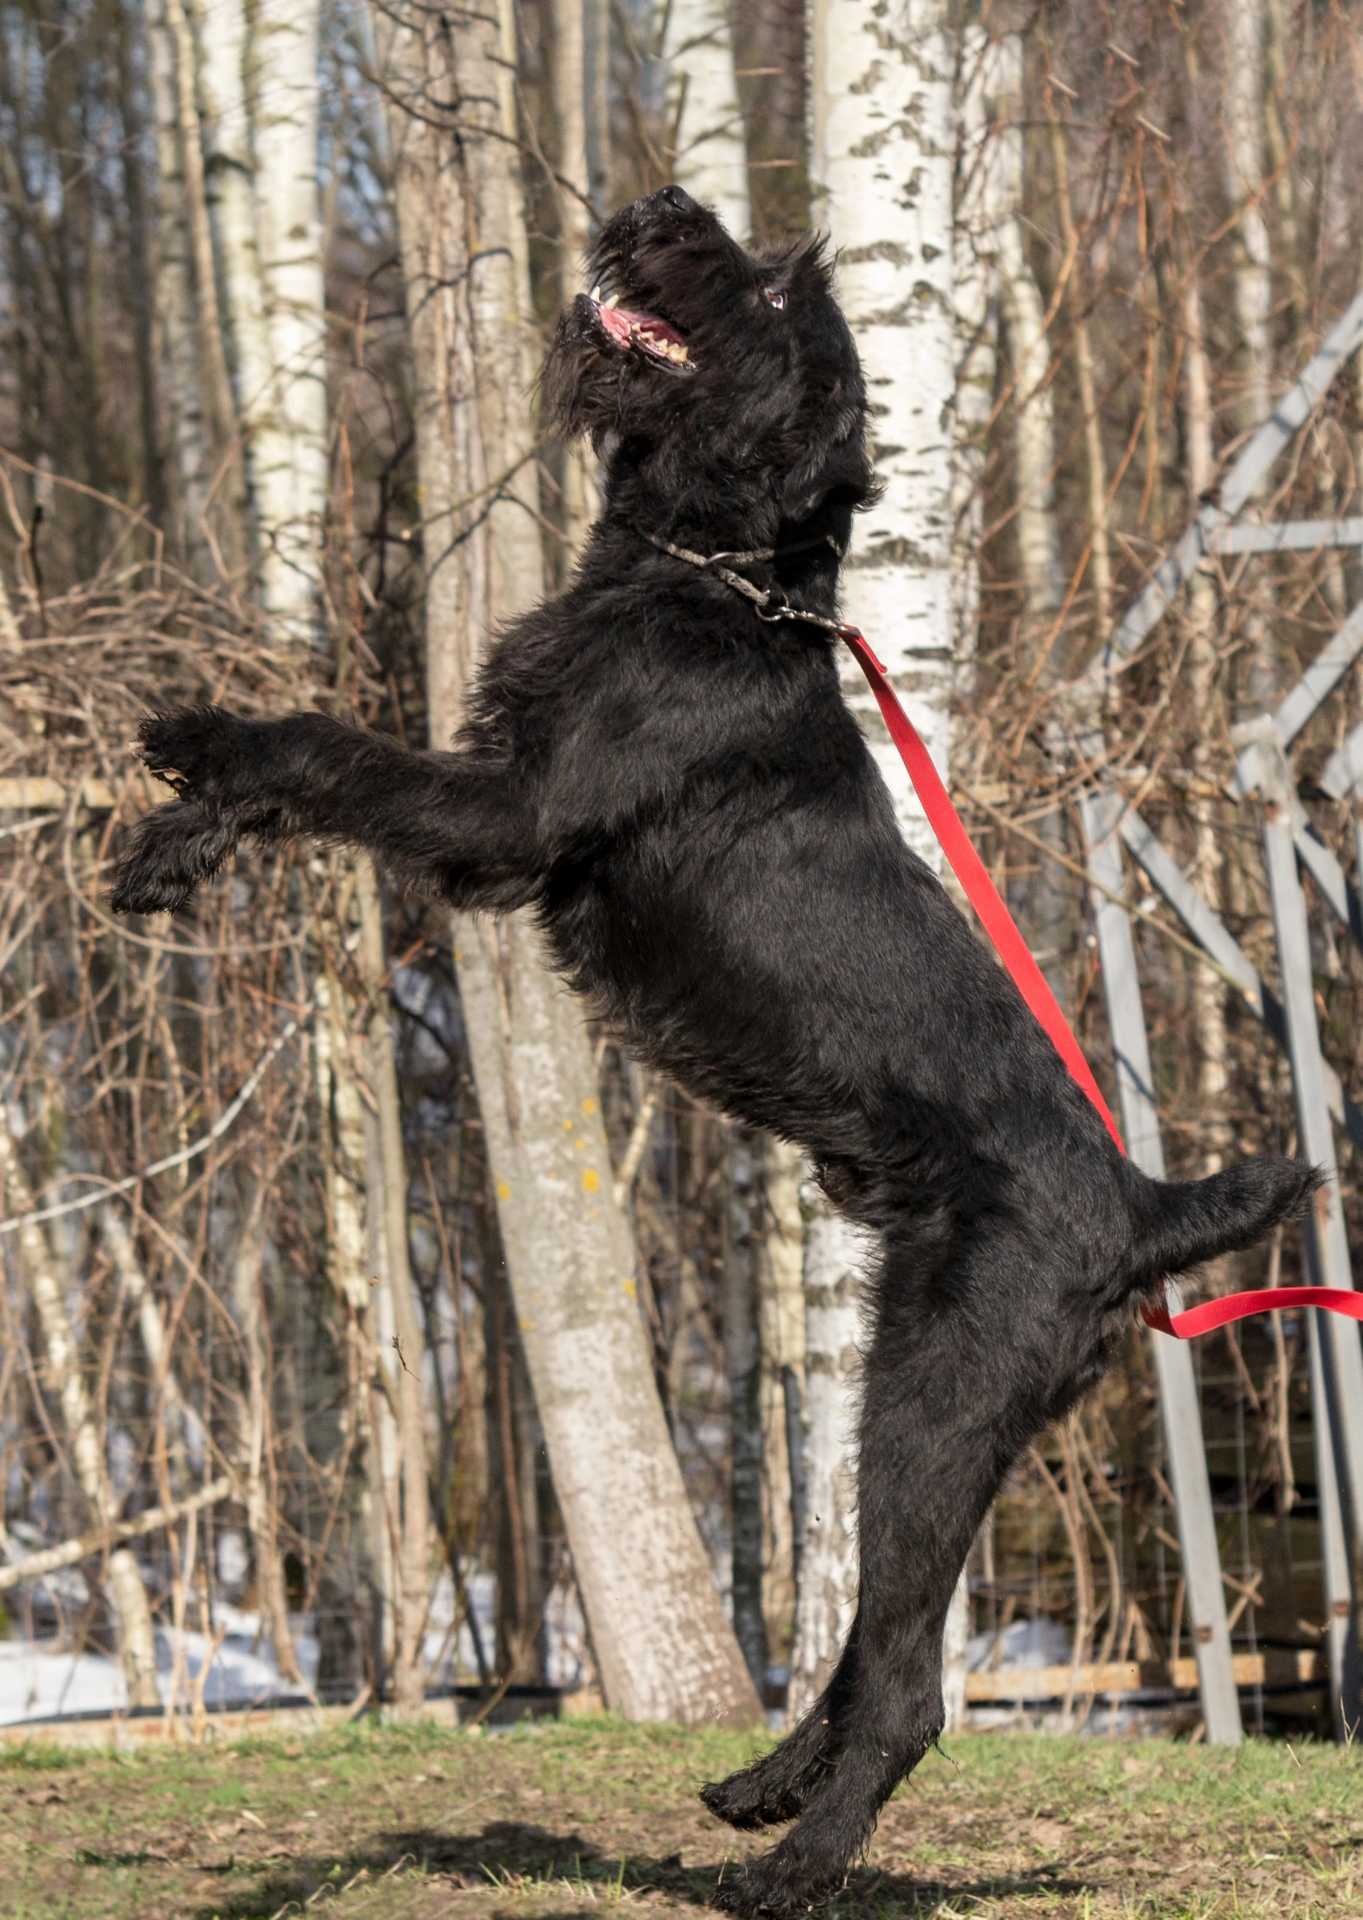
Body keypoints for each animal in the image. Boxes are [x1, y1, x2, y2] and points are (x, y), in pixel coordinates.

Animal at [113, 185, 1316, 1915]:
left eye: (762, 289)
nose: (663, 206)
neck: (711, 573)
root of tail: (1146, 1210)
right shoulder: (489, 799)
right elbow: (323, 773)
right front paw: (172, 830)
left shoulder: (506, 815)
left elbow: (327, 752)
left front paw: (195, 750)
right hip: (913, 1408)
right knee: (875, 1644)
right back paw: (756, 1788)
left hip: (931, 1403)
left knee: (907, 1687)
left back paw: (792, 1865)